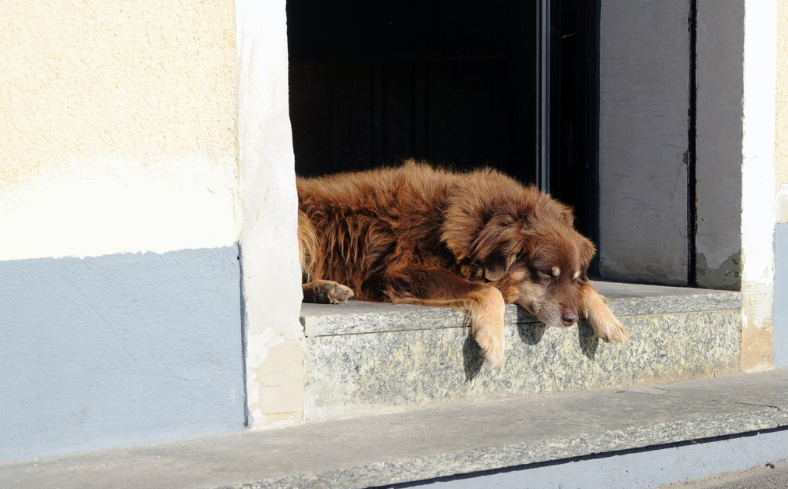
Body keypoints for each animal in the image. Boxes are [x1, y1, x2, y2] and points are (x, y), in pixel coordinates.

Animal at [298, 160, 628, 366]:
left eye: (574, 276)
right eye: (546, 275)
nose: (571, 319)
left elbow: (587, 289)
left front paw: (606, 317)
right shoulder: (404, 272)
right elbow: (490, 292)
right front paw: (493, 340)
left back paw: (325, 290)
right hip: (303, 227)